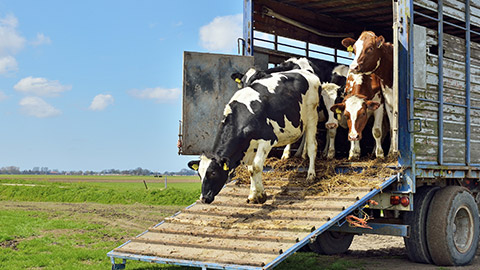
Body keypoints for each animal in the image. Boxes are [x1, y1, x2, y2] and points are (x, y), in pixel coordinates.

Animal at [189, 58, 320, 204]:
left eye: (213, 173)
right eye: (199, 174)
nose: (204, 198)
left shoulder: (267, 139)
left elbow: (256, 167)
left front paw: (261, 195)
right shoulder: (250, 146)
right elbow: (250, 169)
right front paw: (253, 194)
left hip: (312, 115)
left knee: (312, 146)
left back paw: (311, 174)